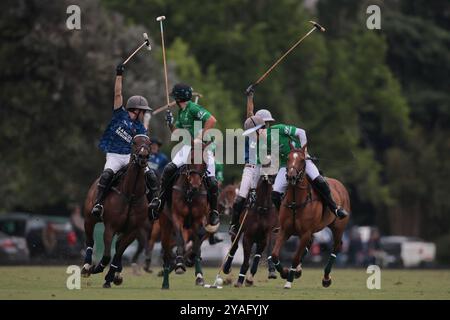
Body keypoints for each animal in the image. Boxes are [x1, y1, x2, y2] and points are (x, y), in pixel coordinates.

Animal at [81, 134, 151, 288]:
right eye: (134, 142)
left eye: (149, 143)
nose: (143, 156)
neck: (130, 194)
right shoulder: (110, 227)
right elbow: (107, 255)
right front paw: (97, 268)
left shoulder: (132, 231)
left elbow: (118, 254)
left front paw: (109, 277)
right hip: (89, 219)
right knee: (89, 241)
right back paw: (87, 267)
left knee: (118, 247)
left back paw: (116, 275)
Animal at [160, 144, 211, 288]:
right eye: (191, 159)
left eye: (204, 162)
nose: (195, 186)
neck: (190, 194)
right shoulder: (177, 217)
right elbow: (180, 239)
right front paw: (179, 264)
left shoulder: (198, 220)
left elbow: (197, 242)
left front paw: (198, 274)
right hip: (165, 227)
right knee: (166, 253)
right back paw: (165, 282)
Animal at [268, 145, 350, 288]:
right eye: (288, 158)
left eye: (302, 160)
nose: (291, 176)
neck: (295, 201)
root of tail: (339, 184)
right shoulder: (285, 230)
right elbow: (274, 254)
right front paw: (285, 272)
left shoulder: (306, 232)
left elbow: (295, 257)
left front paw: (288, 281)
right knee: (311, 243)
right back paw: (298, 271)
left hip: (338, 227)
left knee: (337, 246)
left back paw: (326, 278)